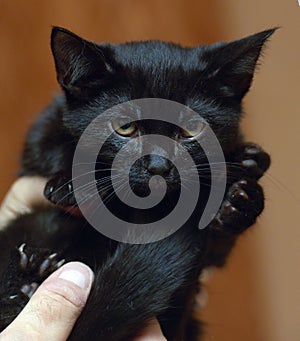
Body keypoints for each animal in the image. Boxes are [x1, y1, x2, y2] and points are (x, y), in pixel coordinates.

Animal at [0, 27, 274, 338]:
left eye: (191, 129)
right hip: (36, 220)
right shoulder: (43, 129)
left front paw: (241, 190)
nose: (158, 165)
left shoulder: (211, 261)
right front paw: (73, 183)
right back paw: (31, 273)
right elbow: (49, 143)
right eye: (125, 128)